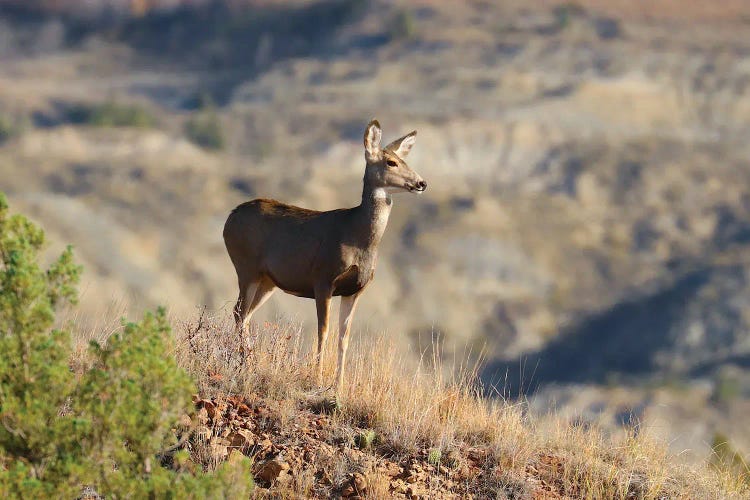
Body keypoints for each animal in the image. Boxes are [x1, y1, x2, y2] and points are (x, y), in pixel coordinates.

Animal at [223, 120, 426, 390]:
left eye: (404, 160)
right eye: (391, 162)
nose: (422, 183)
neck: (357, 236)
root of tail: (230, 217)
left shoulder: (355, 289)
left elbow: (344, 336)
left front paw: (339, 385)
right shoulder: (323, 279)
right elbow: (324, 331)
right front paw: (317, 377)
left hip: (268, 281)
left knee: (244, 315)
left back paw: (248, 361)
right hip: (246, 267)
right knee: (239, 312)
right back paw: (244, 364)